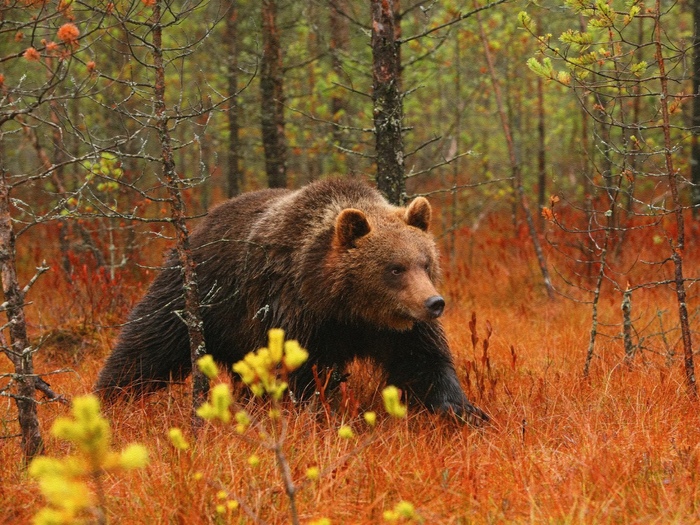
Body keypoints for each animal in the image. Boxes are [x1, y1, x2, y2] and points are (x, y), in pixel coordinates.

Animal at [94, 179, 486, 422]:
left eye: (425, 262)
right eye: (394, 268)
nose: (434, 303)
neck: (344, 306)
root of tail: (203, 222)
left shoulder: (395, 328)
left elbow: (423, 362)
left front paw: (464, 411)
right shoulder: (294, 312)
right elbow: (297, 374)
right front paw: (312, 415)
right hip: (199, 292)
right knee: (147, 343)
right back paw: (107, 397)